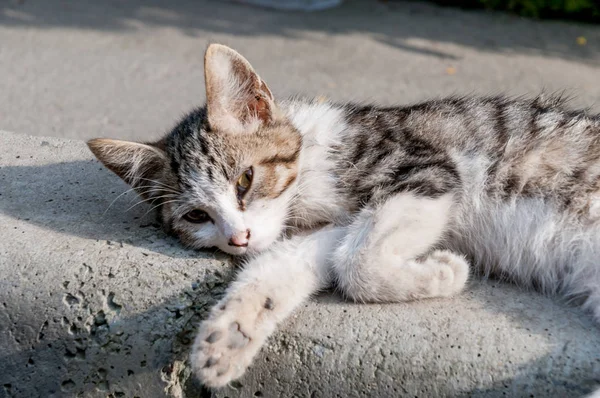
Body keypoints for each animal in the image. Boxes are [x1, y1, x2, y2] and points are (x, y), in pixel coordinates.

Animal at [86, 44, 600, 388]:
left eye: (245, 180)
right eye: (196, 216)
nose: (238, 238)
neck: (311, 169)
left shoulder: (427, 168)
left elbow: (356, 263)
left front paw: (444, 272)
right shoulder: (329, 228)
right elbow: (283, 265)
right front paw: (224, 339)